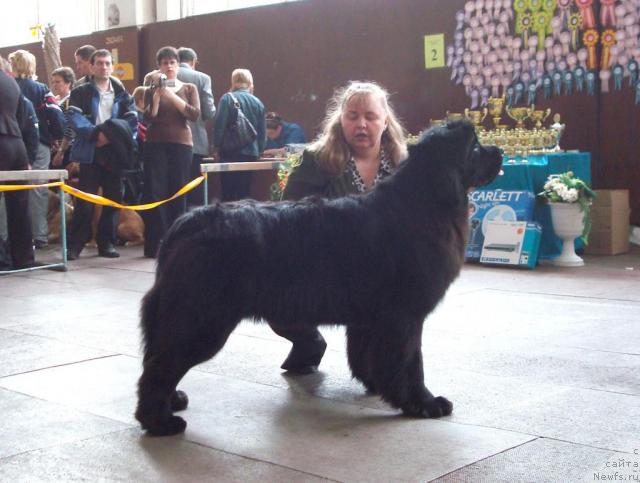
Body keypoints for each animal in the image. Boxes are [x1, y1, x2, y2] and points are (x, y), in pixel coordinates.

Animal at [136, 120, 504, 434]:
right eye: (474, 146)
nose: (500, 151)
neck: (424, 202)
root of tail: (186, 223)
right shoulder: (405, 317)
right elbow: (411, 362)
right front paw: (424, 403)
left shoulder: (370, 319)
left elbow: (369, 356)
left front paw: (378, 386)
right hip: (203, 318)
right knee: (160, 366)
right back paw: (160, 422)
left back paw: (173, 402)